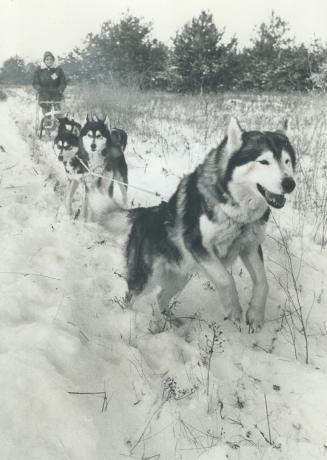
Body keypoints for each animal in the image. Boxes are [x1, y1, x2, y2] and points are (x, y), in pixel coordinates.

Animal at [102, 117, 298, 334]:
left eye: (287, 161)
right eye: (264, 161)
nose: (290, 183)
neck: (237, 215)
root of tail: (145, 213)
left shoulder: (250, 247)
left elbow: (263, 283)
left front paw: (255, 314)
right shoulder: (198, 245)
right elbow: (226, 279)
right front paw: (234, 309)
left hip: (180, 277)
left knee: (160, 297)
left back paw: (165, 322)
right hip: (146, 277)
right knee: (132, 297)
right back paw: (130, 318)